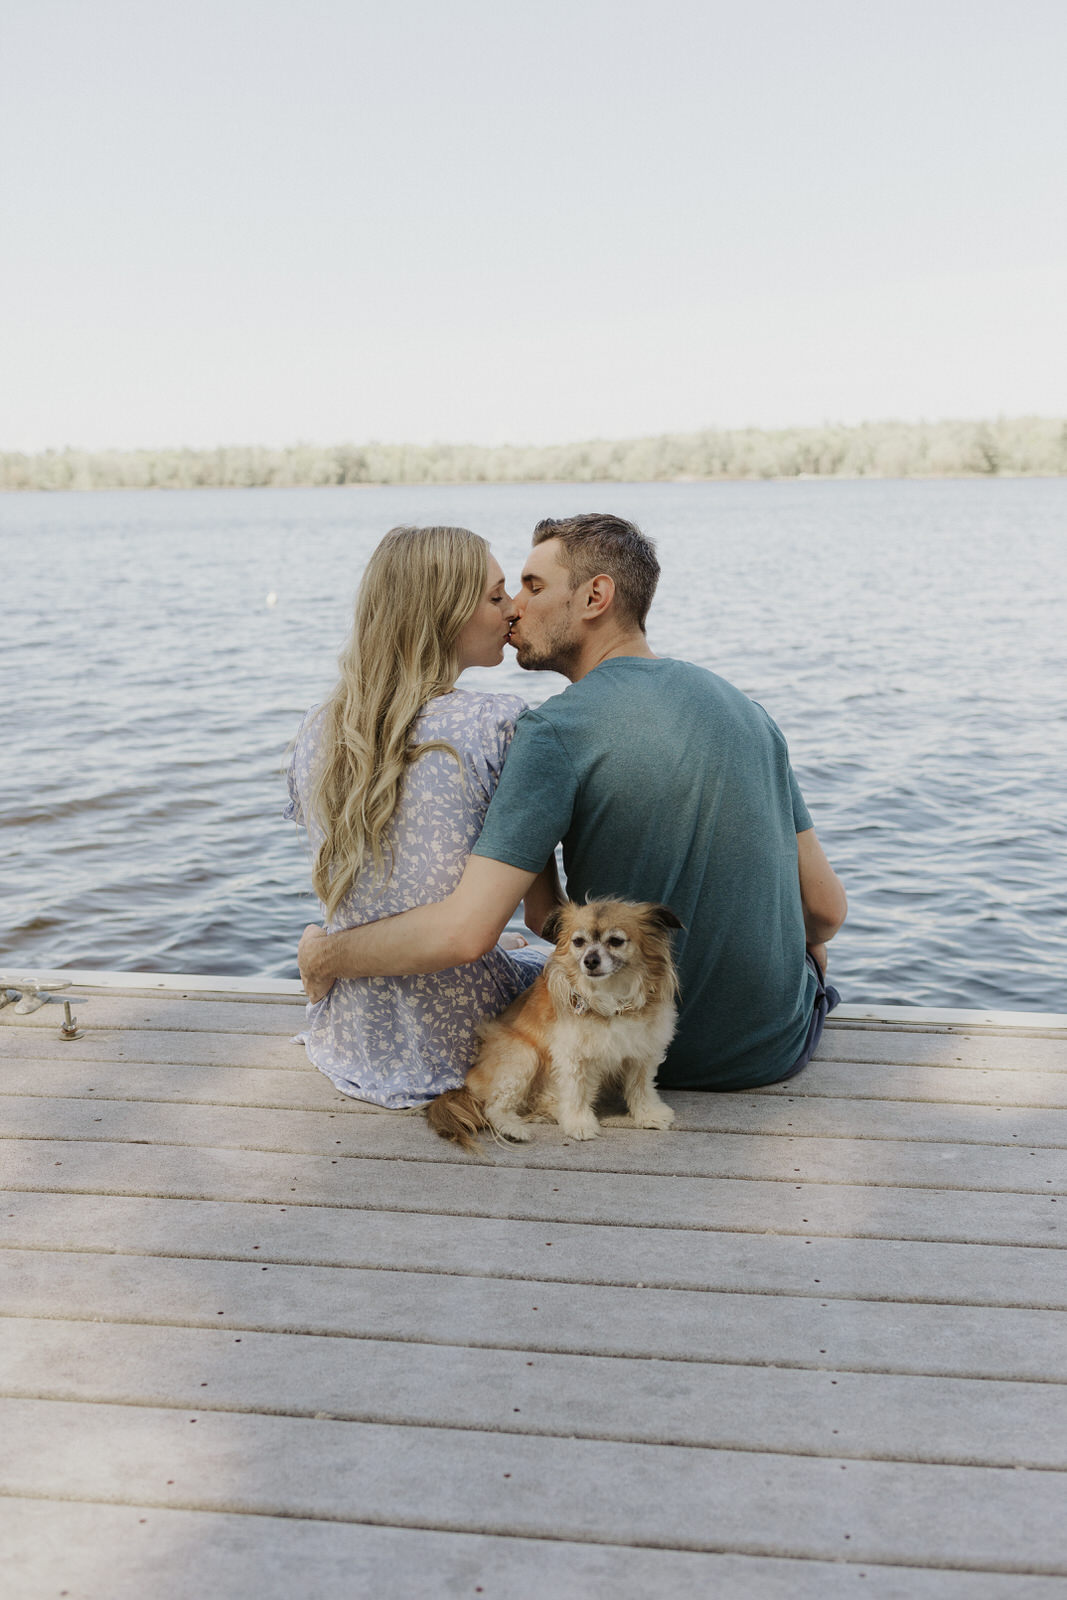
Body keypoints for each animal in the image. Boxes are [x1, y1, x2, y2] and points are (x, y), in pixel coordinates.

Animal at [428, 902, 684, 1152]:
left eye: (616, 941)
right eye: (578, 941)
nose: (590, 961)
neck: (610, 999)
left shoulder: (642, 1051)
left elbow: (640, 1087)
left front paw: (649, 1114)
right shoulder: (573, 1054)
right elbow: (577, 1092)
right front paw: (579, 1124)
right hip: (524, 1056)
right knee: (494, 1106)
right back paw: (513, 1129)